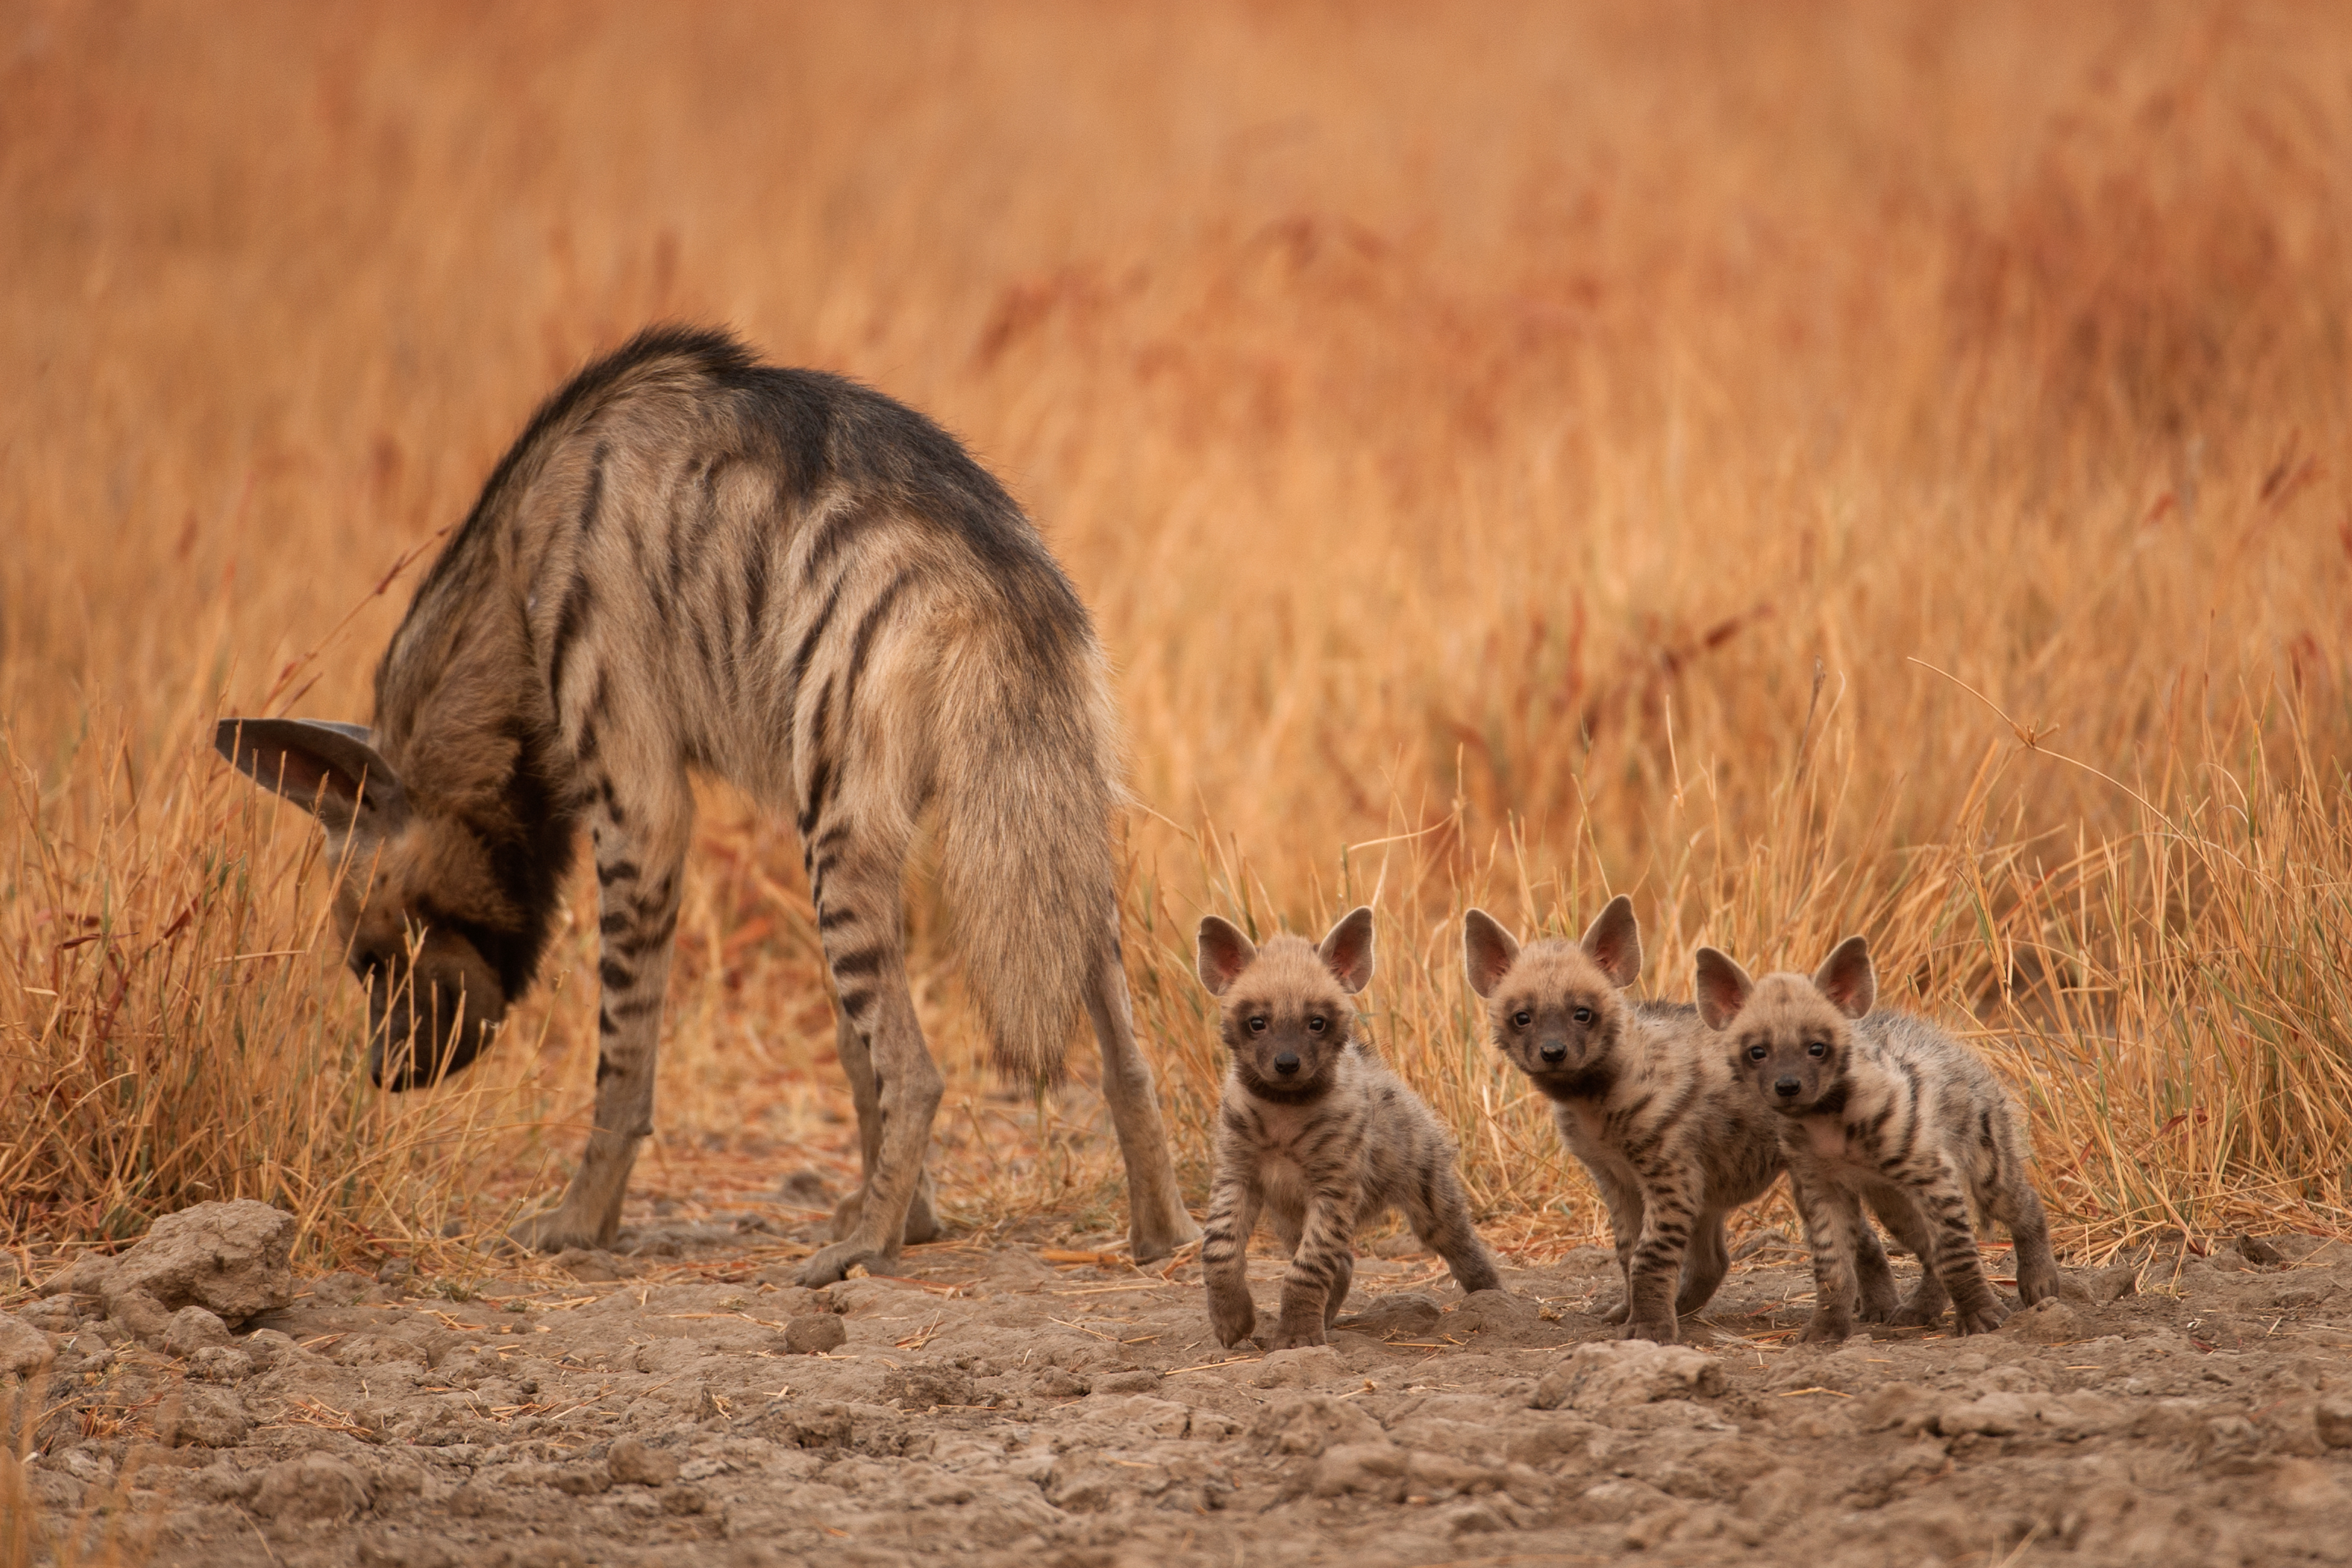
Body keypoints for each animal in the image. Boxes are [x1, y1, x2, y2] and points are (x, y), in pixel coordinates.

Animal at [214, 325, 1200, 1284]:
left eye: (372, 959)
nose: (380, 1073)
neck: (512, 577)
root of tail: (996, 586)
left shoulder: (639, 802)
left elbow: (623, 1058)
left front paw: (577, 1226)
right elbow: (854, 1053)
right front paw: (909, 1215)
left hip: (842, 837)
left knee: (922, 1072)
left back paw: (858, 1257)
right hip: (1045, 831)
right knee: (1123, 1054)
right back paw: (1159, 1232)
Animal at [1195, 907, 1500, 1350]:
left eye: (1316, 1023)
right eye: (1257, 1022)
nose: (1287, 1063)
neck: (1283, 1111)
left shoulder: (1334, 1185)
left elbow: (1307, 1268)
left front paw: (1298, 1338)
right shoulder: (1237, 1171)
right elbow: (1218, 1249)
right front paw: (1233, 1323)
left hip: (1428, 1188)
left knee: (1456, 1238)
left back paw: (1495, 1301)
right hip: (1288, 1215)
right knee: (1344, 1262)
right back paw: (1328, 1317)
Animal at [1464, 898, 1900, 1343]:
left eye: (1582, 1013)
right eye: (1522, 1017)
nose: (1553, 1051)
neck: (1593, 1103)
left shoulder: (1671, 1169)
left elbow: (1650, 1254)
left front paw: (1650, 1328)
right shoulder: (1614, 1175)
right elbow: (1626, 1250)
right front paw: (1628, 1312)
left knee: (1851, 1234)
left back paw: (1880, 1309)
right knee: (1721, 1259)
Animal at [1696, 936, 2061, 1340]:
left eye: (1817, 1048)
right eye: (1758, 1052)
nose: (1788, 1086)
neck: (1828, 1123)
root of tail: (1953, 1045)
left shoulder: (1933, 1174)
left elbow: (1956, 1255)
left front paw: (1982, 1316)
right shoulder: (1820, 1186)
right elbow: (1833, 1268)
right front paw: (1824, 1330)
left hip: (1986, 1160)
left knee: (2022, 1204)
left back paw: (2040, 1283)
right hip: (1893, 1203)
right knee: (1927, 1249)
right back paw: (1919, 1310)